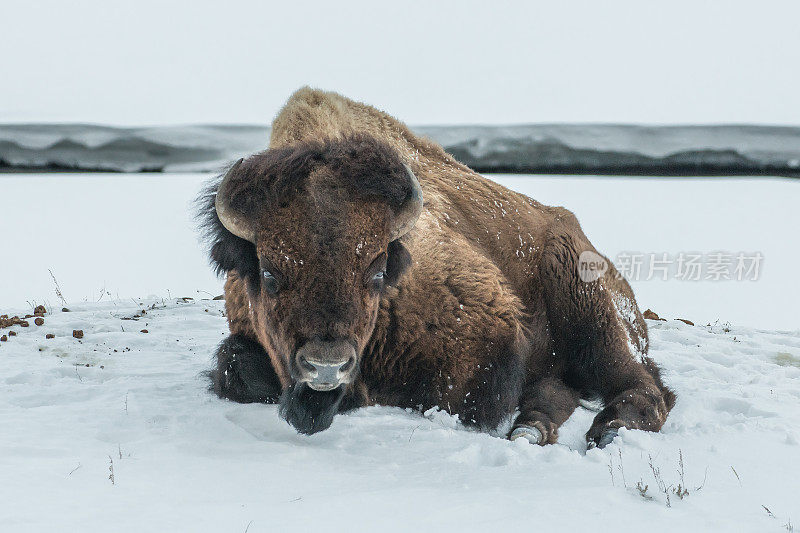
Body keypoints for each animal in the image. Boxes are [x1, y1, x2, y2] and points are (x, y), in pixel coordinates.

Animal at [200, 87, 676, 444]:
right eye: (268, 272)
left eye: (377, 271)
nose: (327, 366)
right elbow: (234, 369)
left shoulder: (490, 337)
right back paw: (531, 428)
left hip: (592, 318)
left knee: (645, 387)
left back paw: (606, 431)